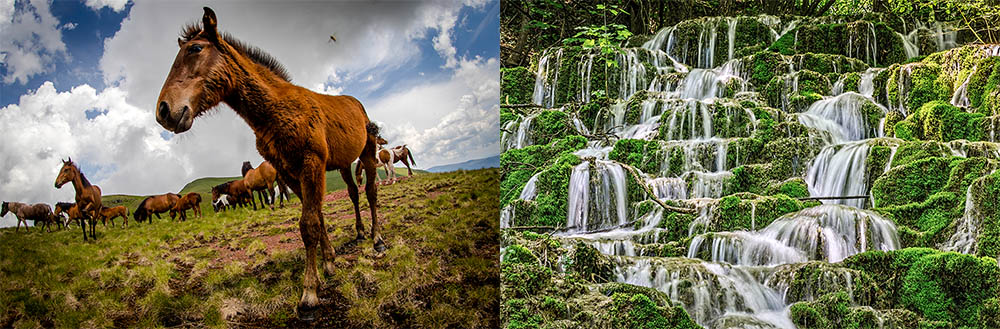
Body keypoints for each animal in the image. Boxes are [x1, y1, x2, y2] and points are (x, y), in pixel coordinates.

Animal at [155, 7, 382, 320]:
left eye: (196, 49)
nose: (163, 111)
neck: (277, 110)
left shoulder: (311, 163)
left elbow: (309, 224)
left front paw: (309, 293)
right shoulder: (289, 171)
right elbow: (318, 216)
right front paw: (329, 263)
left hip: (368, 152)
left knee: (370, 192)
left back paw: (376, 239)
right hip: (344, 164)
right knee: (353, 193)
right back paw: (360, 233)